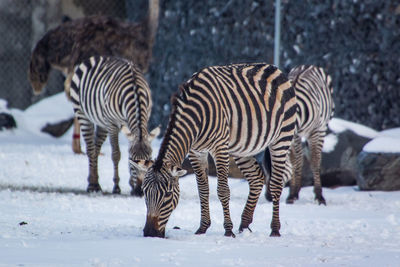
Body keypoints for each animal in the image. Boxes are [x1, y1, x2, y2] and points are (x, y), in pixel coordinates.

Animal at [70, 55, 159, 196]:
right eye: (132, 160)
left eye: (149, 159)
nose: (140, 191)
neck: (135, 92)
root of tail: (96, 57)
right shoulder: (112, 124)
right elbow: (116, 154)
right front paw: (117, 187)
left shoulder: (145, 117)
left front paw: (130, 184)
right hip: (82, 113)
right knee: (90, 149)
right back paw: (93, 185)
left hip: (102, 123)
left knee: (96, 148)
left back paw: (95, 181)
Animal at [133, 63, 298, 239]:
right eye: (144, 192)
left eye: (167, 194)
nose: (150, 233)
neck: (195, 116)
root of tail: (274, 68)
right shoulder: (196, 152)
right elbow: (203, 190)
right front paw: (202, 228)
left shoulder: (220, 148)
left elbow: (223, 190)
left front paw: (228, 230)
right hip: (242, 149)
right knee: (256, 178)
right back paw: (244, 226)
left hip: (281, 138)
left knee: (275, 184)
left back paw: (274, 229)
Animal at [264, 65, 332, 205]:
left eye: (277, 169)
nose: (268, 197)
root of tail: (310, 66)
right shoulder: (293, 135)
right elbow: (296, 161)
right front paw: (293, 194)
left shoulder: (314, 132)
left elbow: (314, 161)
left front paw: (319, 196)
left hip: (322, 128)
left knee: (316, 157)